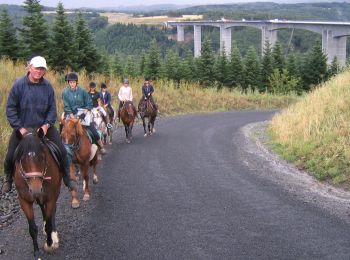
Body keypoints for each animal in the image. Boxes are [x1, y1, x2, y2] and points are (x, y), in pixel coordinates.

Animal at [13, 128, 61, 258]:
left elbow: (49, 224)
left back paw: (53, 235)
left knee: (52, 212)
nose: (35, 189)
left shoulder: (50, 198)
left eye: (43, 157)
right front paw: (36, 251)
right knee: (42, 207)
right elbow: (32, 228)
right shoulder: (24, 201)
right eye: (22, 159)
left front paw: (49, 244)